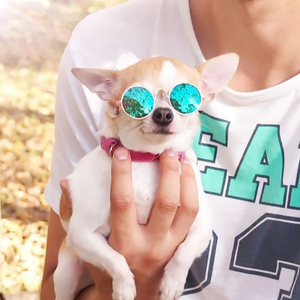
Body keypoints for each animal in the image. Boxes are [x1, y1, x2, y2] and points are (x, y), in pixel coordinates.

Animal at [53, 52, 239, 298]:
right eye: (135, 101)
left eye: (188, 100)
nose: (163, 113)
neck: (148, 158)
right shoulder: (82, 234)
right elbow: (116, 259)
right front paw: (124, 288)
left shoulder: (202, 227)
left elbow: (184, 252)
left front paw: (173, 283)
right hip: (66, 269)